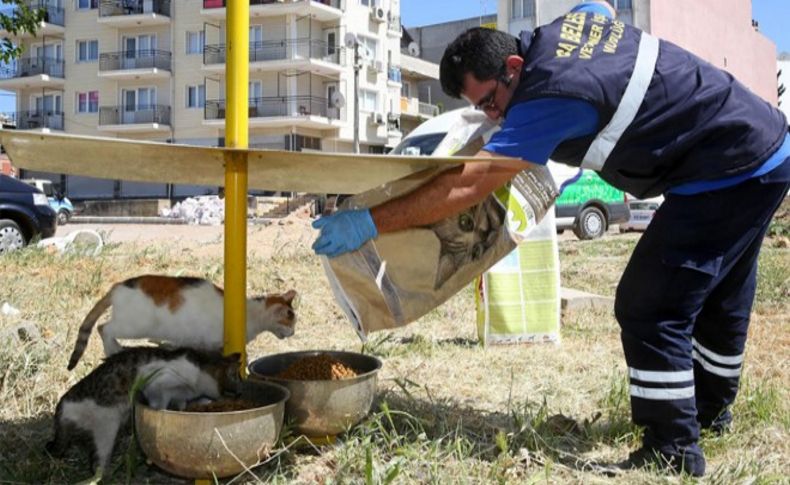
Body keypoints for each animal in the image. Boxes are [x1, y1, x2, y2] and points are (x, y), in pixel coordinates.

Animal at [47, 348, 241, 476]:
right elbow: (159, 400)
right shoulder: (157, 382)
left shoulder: (180, 396)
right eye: (232, 387)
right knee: (97, 462)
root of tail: (62, 407)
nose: (238, 393)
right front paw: (161, 410)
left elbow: (183, 403)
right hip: (107, 423)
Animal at [67, 274, 296, 368]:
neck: (250, 313)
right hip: (135, 325)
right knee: (103, 327)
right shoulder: (212, 343)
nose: (293, 333)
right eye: (290, 321)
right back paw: (113, 349)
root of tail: (116, 287)